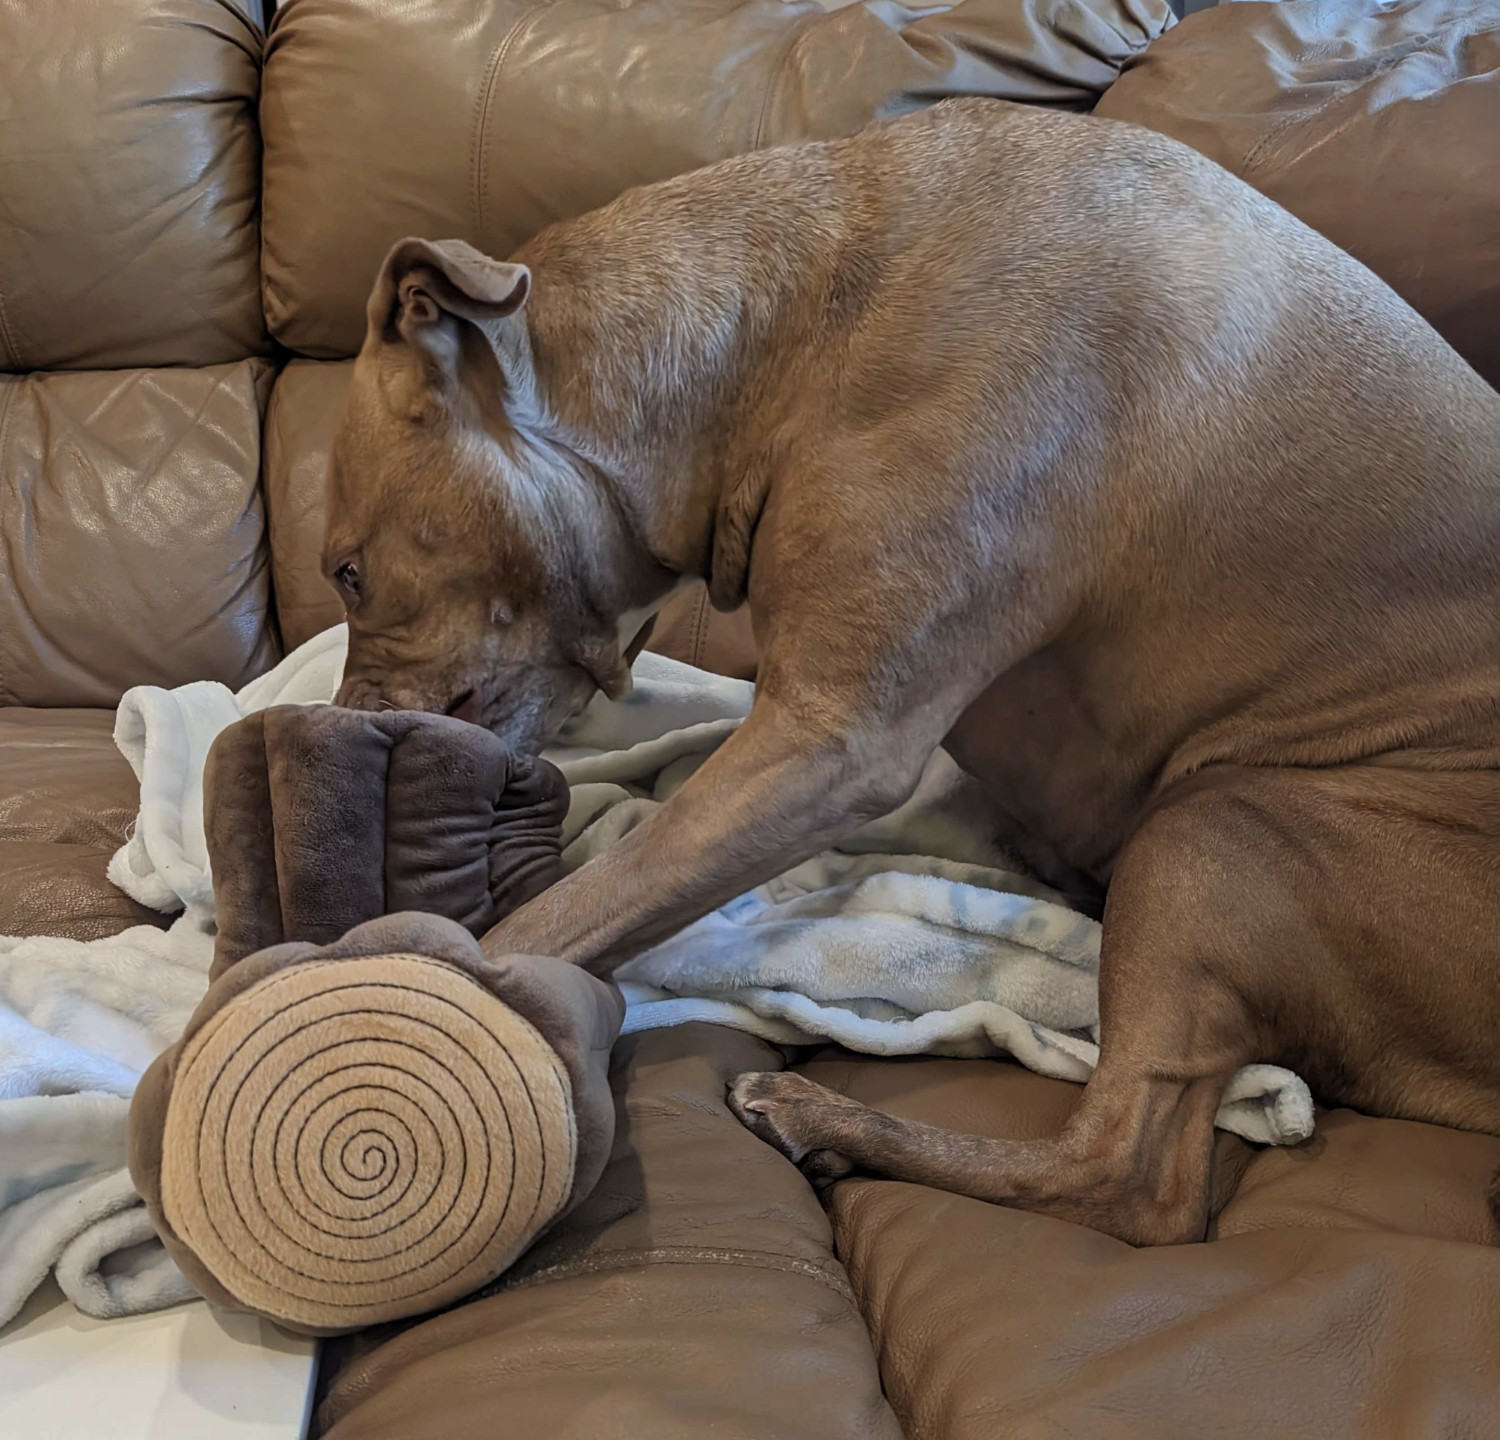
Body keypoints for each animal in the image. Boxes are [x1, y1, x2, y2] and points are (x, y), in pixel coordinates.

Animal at [322, 101, 1500, 1248]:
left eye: (344, 571)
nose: (335, 729)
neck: (788, 343)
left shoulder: (829, 741)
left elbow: (549, 922)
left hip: (1214, 829)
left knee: (1131, 1184)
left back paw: (820, 1115)